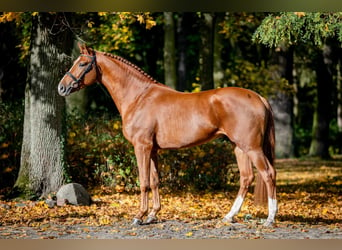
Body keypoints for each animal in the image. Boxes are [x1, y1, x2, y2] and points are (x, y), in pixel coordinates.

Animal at [58, 44, 278, 227]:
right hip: (239, 147)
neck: (139, 97)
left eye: (83, 63)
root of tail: (258, 97)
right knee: (246, 177)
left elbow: (144, 181)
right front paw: (152, 215)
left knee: (268, 173)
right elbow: (155, 181)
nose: (61, 87)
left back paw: (270, 218)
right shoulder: (153, 150)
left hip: (252, 148)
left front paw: (139, 216)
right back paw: (229, 216)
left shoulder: (142, 147)